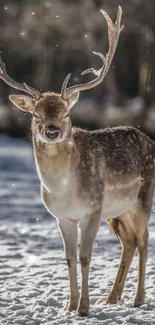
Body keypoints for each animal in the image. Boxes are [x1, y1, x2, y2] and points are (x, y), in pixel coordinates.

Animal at [0, 6, 153, 316]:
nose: (52, 130)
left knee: (144, 242)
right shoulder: (62, 217)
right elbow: (69, 258)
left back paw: (138, 298)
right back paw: (112, 297)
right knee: (129, 242)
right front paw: (70, 306)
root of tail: (150, 140)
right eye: (35, 114)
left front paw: (84, 307)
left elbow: (85, 257)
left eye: (66, 114)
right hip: (118, 211)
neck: (64, 190)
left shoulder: (92, 211)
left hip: (143, 199)